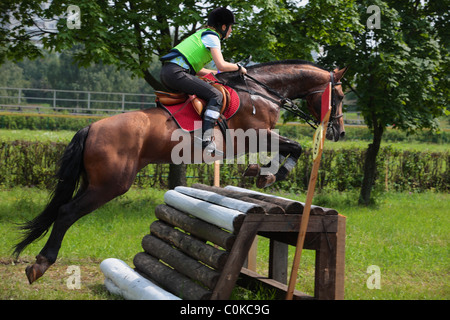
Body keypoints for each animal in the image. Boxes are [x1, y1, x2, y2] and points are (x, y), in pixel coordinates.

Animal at [12, 59, 346, 282]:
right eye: (340, 97)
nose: (339, 132)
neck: (260, 92)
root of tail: (91, 127)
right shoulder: (254, 134)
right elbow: (294, 147)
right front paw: (268, 174)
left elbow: (290, 147)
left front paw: (260, 172)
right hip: (110, 185)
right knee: (67, 212)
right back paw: (40, 264)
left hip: (94, 182)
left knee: (63, 210)